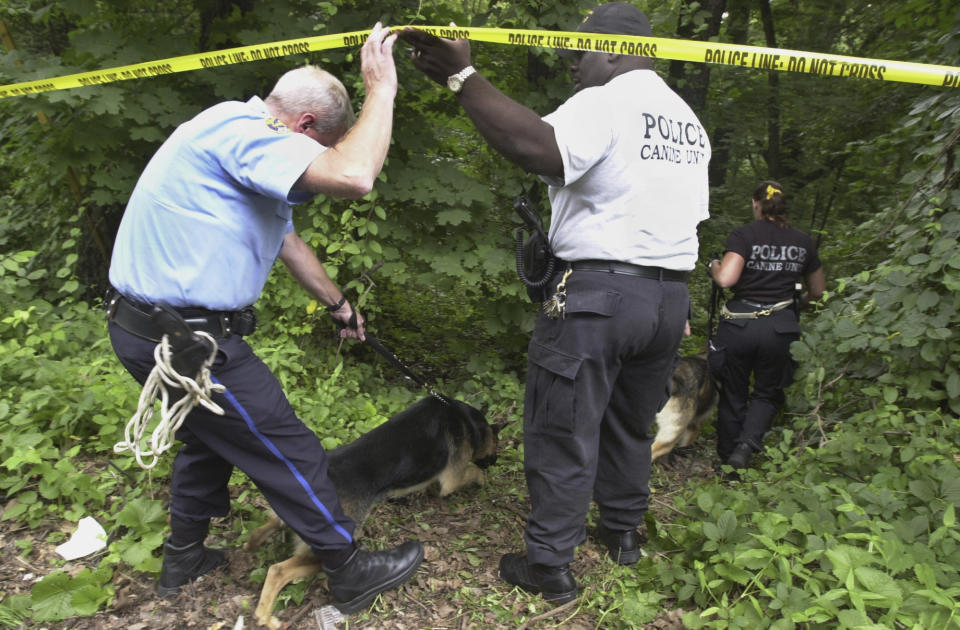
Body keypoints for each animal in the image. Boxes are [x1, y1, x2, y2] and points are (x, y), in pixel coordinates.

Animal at [244, 398, 498, 628]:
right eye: (496, 446)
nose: (494, 462)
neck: (463, 416)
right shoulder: (453, 479)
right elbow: (471, 472)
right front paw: (482, 479)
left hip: (285, 522)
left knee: (260, 533)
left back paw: (250, 549)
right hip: (327, 548)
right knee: (277, 571)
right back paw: (266, 617)